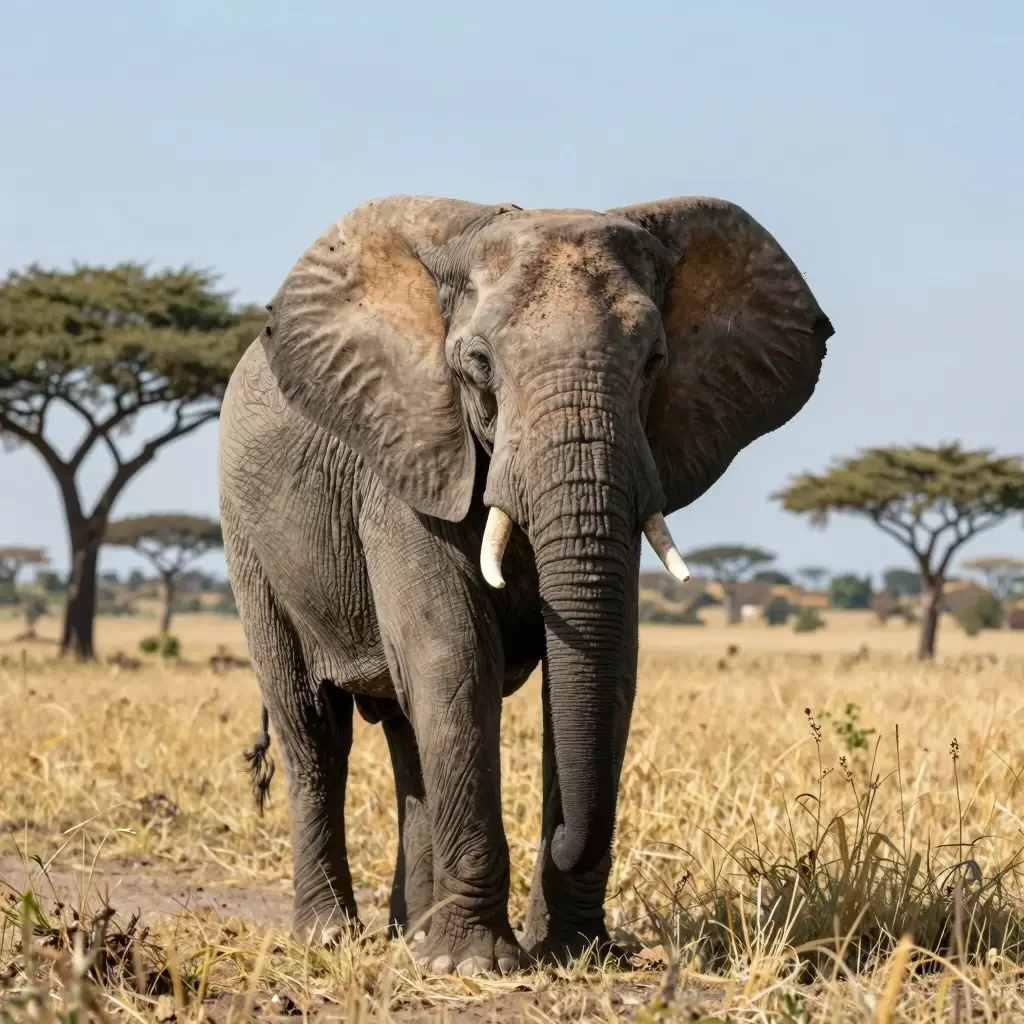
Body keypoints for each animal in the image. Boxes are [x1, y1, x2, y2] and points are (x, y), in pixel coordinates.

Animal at [217, 193, 833, 976]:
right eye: (479, 364)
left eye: (655, 361)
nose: (568, 844)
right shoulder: (409, 460)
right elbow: (453, 656)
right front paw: (474, 968)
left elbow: (608, 665)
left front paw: (573, 954)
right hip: (248, 541)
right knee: (314, 726)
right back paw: (331, 935)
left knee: (407, 734)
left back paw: (411, 936)